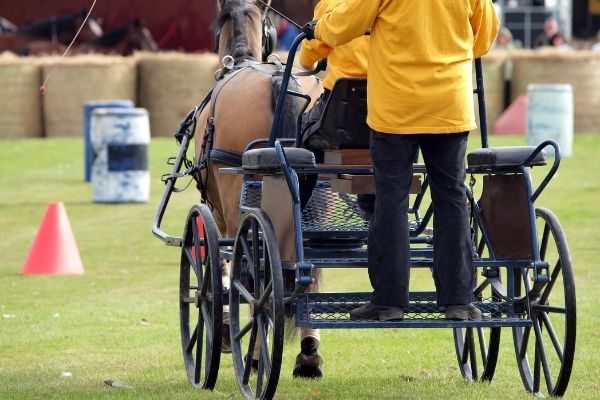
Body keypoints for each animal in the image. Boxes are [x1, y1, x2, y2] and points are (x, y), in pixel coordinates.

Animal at [196, 0, 324, 382]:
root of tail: (282, 81)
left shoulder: (220, 212)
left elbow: (225, 264)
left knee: (255, 277)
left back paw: (253, 356)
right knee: (311, 273)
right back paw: (309, 352)